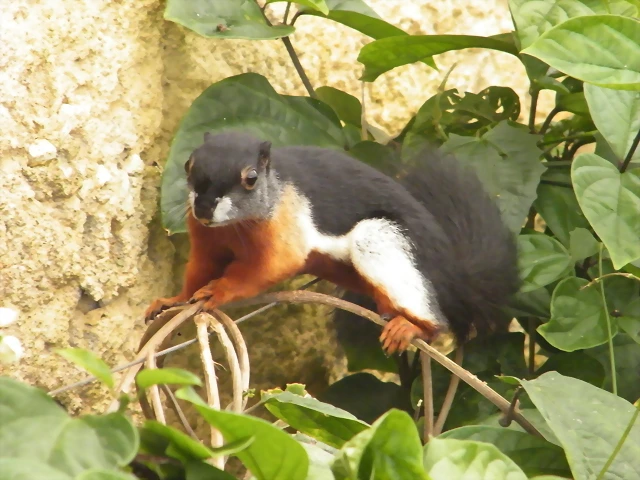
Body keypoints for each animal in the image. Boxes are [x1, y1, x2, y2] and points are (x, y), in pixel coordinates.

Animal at [145, 130, 520, 352]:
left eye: (251, 178)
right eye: (188, 163)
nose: (203, 207)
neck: (233, 226)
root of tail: (450, 272)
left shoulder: (285, 233)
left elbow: (265, 268)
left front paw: (218, 291)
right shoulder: (206, 240)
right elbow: (199, 269)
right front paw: (173, 300)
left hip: (379, 238)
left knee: (435, 319)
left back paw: (412, 328)